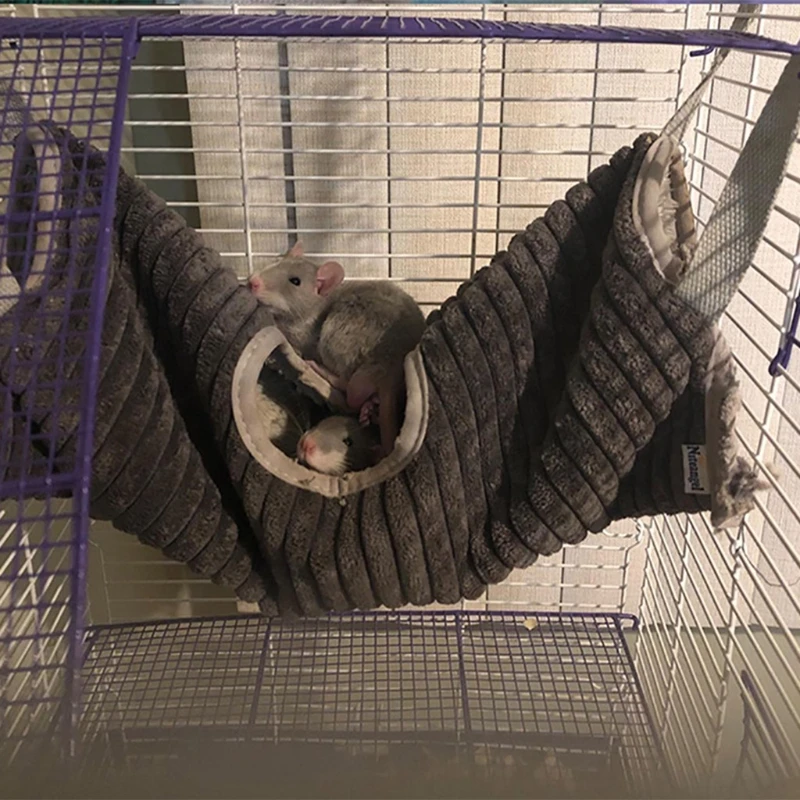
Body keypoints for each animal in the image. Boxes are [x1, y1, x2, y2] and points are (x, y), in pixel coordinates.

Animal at [248, 241, 426, 456]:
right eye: (277, 261)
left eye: (295, 281)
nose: (252, 282)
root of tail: (391, 364)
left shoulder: (303, 335)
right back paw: (370, 408)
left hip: (337, 335)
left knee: (349, 389)